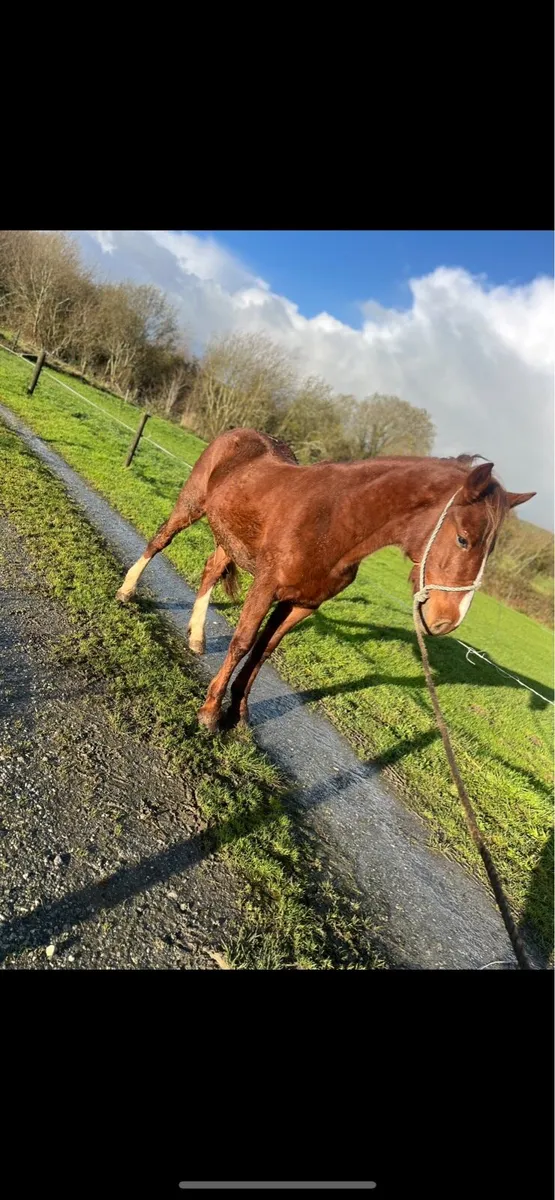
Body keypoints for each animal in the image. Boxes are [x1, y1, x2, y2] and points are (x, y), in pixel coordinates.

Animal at [116, 428, 535, 732]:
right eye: (464, 538)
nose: (446, 620)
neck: (334, 522)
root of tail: (237, 434)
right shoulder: (266, 587)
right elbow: (242, 642)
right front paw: (210, 712)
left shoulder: (301, 603)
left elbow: (263, 650)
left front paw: (239, 712)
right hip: (191, 505)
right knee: (160, 541)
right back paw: (127, 590)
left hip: (229, 537)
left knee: (211, 569)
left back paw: (198, 636)